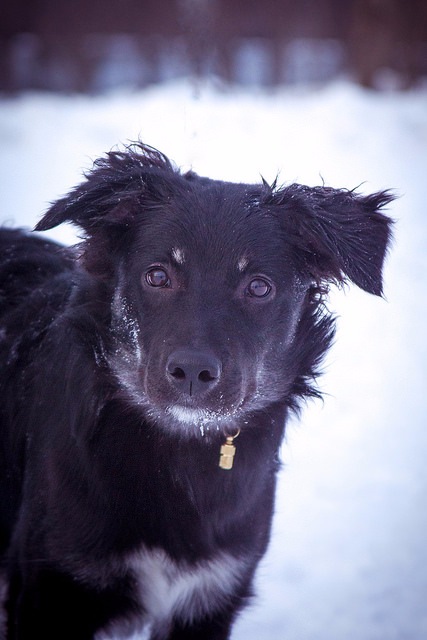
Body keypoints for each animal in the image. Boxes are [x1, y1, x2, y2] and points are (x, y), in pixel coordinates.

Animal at [0, 143, 393, 639]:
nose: (191, 371)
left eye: (259, 287)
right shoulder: (47, 590)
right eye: (157, 276)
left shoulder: (211, 593)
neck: (179, 455)